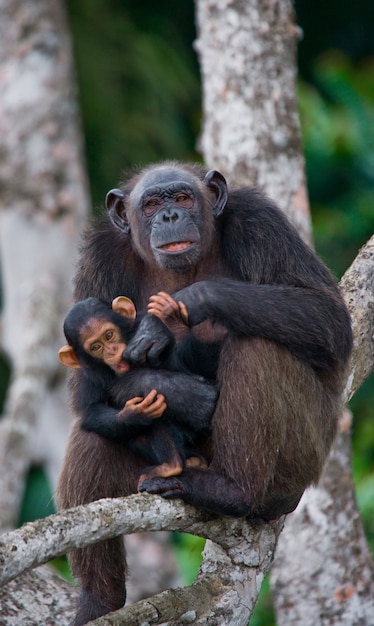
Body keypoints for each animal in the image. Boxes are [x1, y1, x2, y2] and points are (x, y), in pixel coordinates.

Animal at [58, 292, 216, 488]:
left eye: (109, 335)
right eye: (96, 347)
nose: (111, 350)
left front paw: (168, 322)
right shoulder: (89, 379)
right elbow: (92, 410)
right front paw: (135, 413)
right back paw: (182, 462)